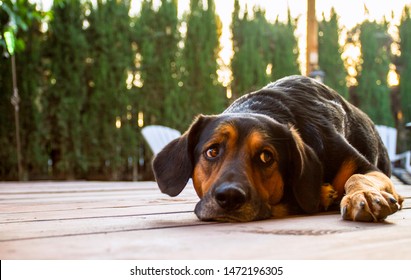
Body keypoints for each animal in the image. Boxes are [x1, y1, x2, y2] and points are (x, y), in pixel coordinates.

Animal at [153, 75, 404, 222]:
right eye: (212, 151)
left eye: (266, 157)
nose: (229, 197)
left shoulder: (366, 168)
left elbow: (358, 176)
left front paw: (364, 195)